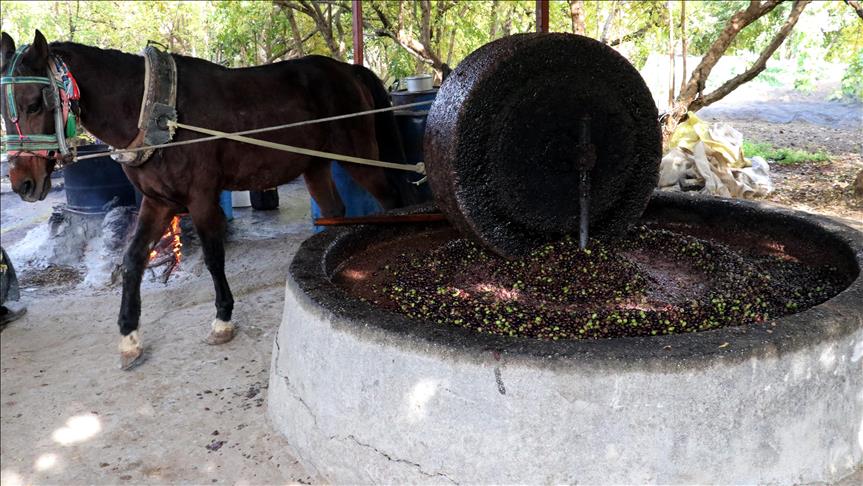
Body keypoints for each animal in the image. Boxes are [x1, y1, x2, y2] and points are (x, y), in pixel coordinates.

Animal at [2, 30, 416, 370]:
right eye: (5, 110)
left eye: (35, 103)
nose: (23, 183)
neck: (157, 111)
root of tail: (348, 69)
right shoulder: (157, 201)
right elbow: (133, 260)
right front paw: (129, 337)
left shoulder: (201, 198)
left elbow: (215, 257)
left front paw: (222, 320)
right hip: (314, 165)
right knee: (333, 212)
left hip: (359, 155)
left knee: (392, 198)